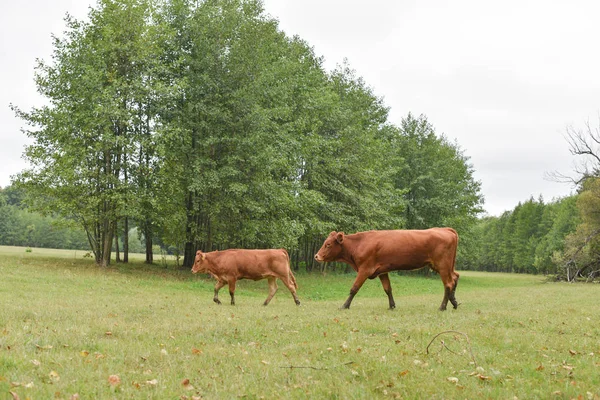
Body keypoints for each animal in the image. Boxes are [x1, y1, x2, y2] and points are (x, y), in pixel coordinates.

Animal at [314, 228, 460, 310]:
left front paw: (345, 305)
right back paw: (454, 302)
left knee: (448, 284)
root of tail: (445, 229)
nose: (316, 256)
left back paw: (442, 307)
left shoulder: (365, 269)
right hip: (445, 266)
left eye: (328, 244)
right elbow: (388, 289)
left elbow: (354, 289)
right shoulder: (382, 271)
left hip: (443, 265)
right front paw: (392, 306)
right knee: (455, 277)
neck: (360, 243)